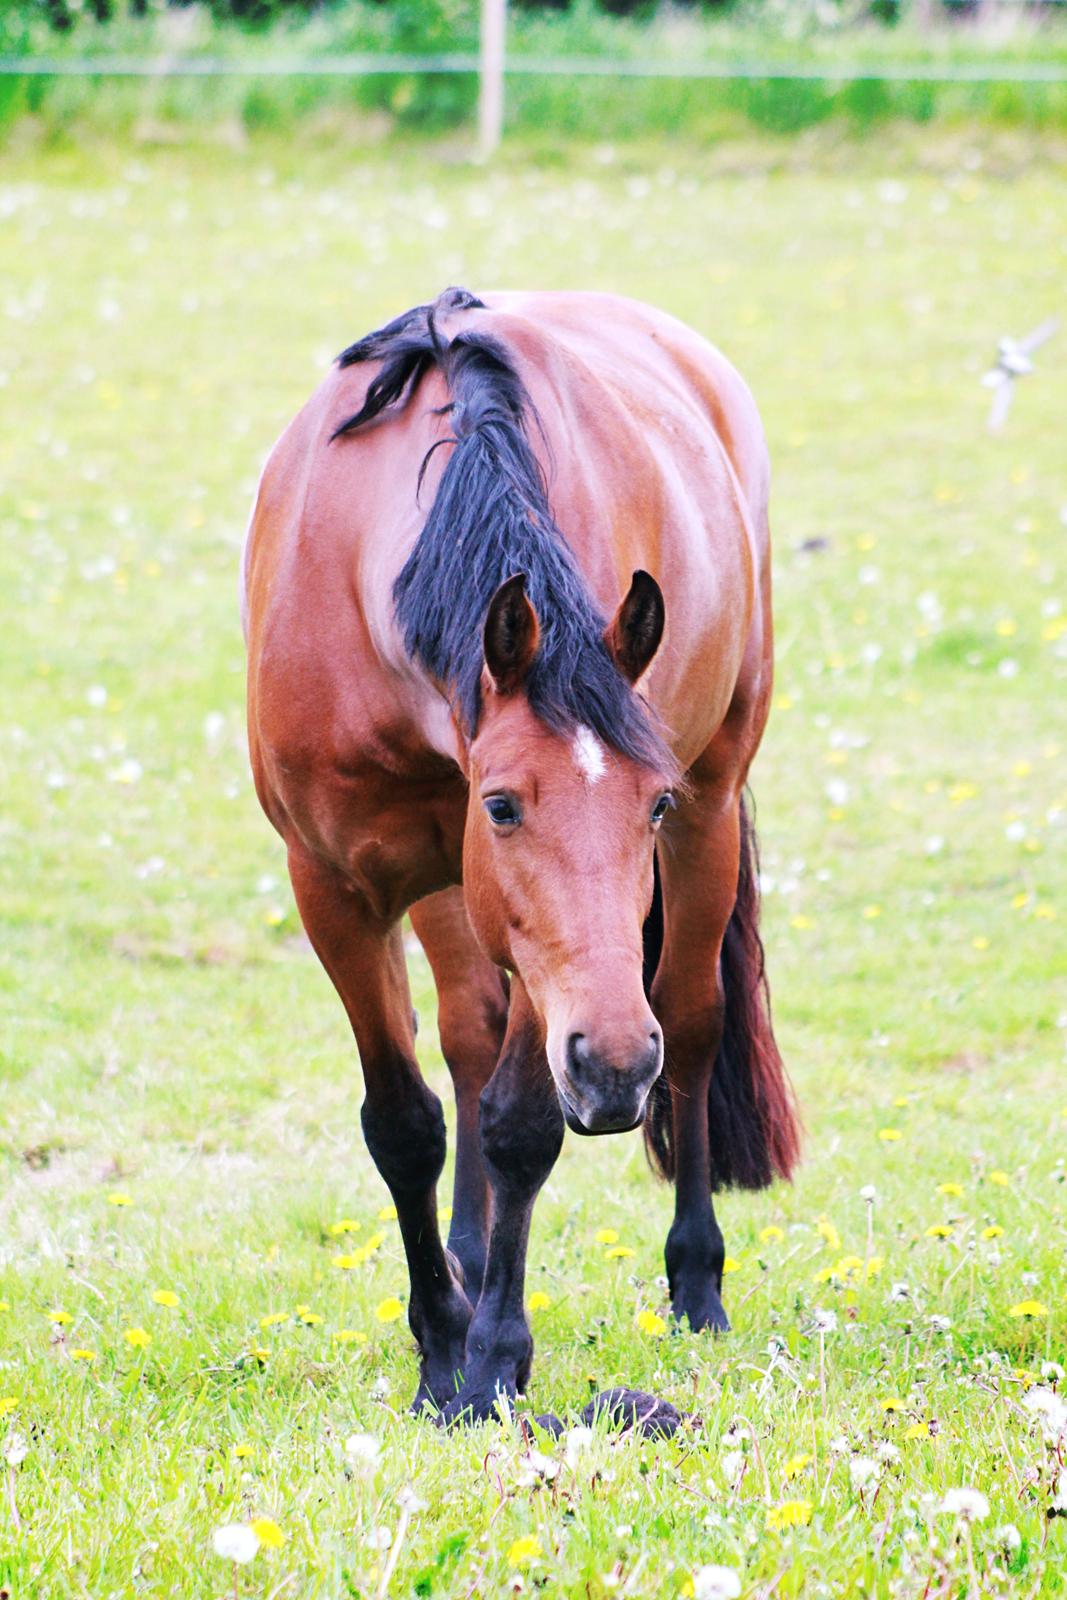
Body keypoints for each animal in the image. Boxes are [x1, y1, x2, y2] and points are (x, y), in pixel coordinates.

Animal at [244, 288, 799, 1427]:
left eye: (649, 801)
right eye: (501, 804)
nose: (617, 1066)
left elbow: (519, 1126)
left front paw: (494, 1359)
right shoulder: (335, 887)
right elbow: (404, 1122)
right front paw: (439, 1347)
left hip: (712, 812)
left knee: (689, 1016)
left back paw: (694, 1280)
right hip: (446, 888)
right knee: (467, 1028)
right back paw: (461, 1258)